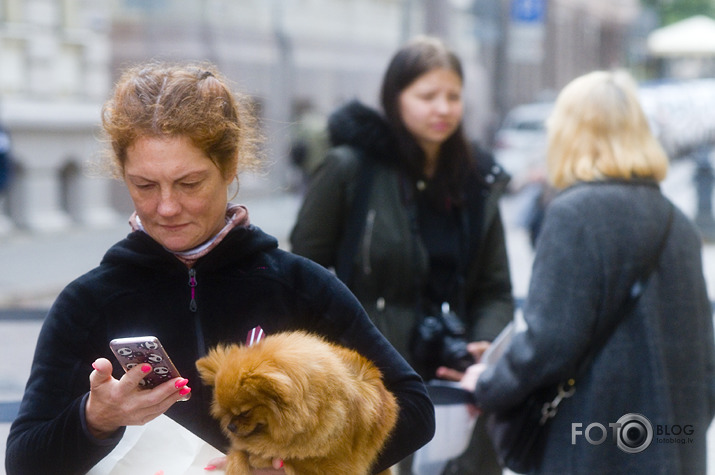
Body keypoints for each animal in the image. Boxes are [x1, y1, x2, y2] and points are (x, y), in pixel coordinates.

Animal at [196, 330, 398, 475]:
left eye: (244, 412)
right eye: (226, 413)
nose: (230, 426)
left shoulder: (333, 468)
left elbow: (292, 460)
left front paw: (259, 459)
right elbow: (238, 453)